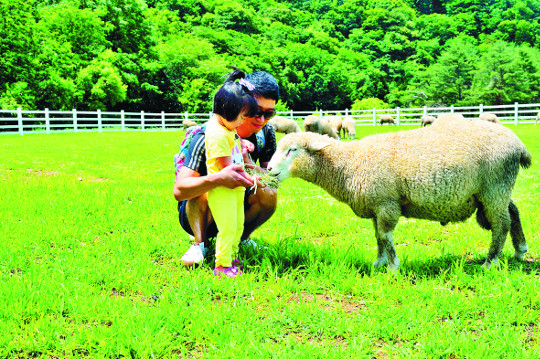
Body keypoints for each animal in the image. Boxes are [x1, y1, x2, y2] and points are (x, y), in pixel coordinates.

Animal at [268, 116, 528, 272]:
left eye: (292, 150)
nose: (268, 169)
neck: (350, 163)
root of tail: (518, 144)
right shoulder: (375, 206)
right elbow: (377, 237)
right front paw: (379, 262)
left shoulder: (387, 203)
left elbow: (385, 236)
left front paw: (393, 267)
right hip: (495, 190)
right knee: (513, 211)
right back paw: (520, 251)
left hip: (494, 187)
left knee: (501, 224)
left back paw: (490, 262)